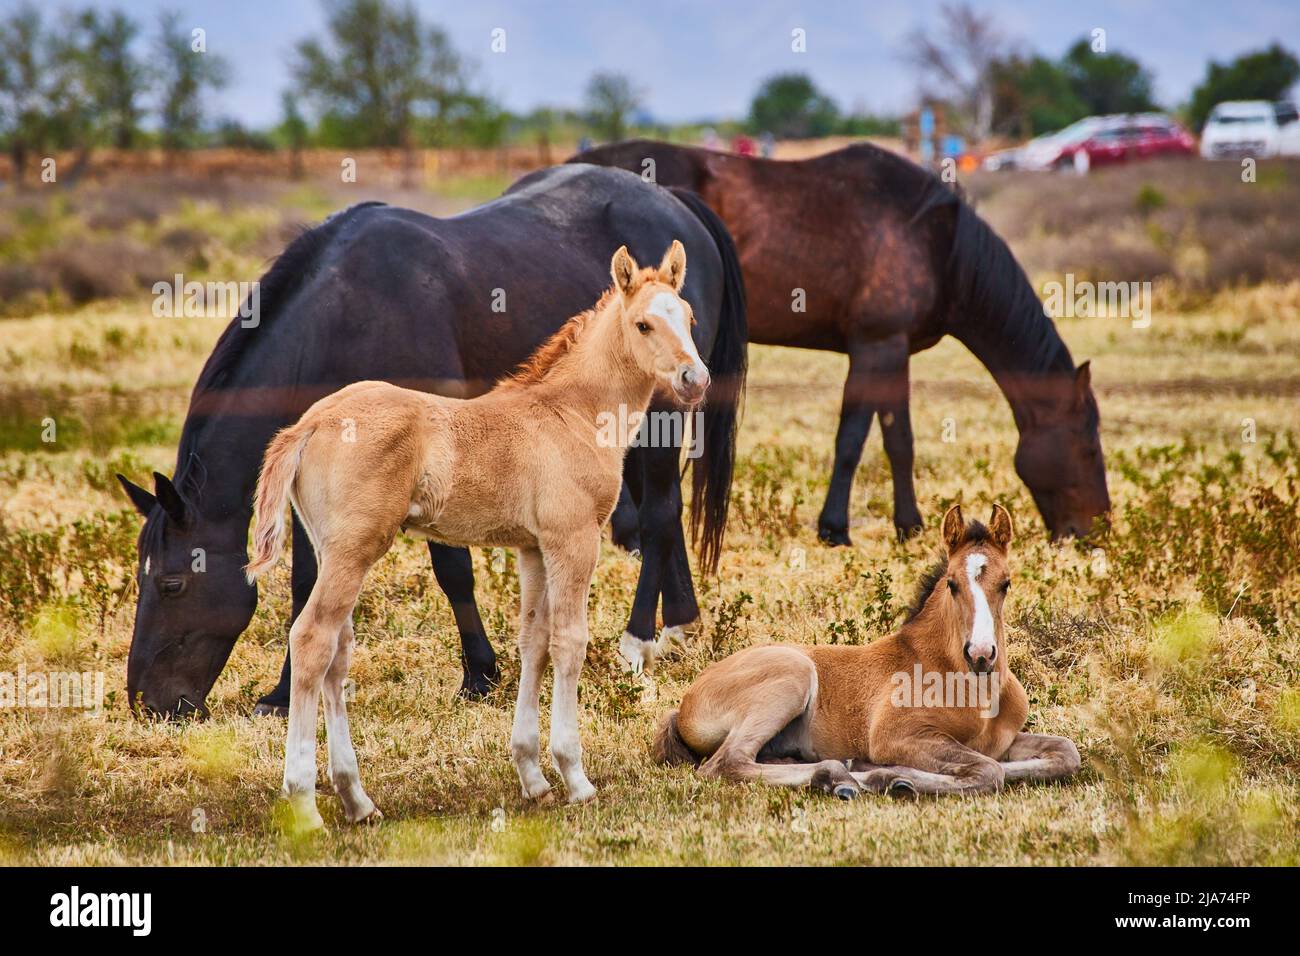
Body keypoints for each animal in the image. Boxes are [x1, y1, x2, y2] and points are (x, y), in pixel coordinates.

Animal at [116, 164, 746, 719]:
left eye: (171, 583)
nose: (147, 703)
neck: (348, 309)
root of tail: (675, 202)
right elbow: (306, 582)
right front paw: (281, 693)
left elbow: (453, 569)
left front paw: (480, 674)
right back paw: (680, 626)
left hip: (663, 413)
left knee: (660, 513)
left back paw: (640, 641)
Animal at [246, 242, 705, 825]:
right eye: (644, 324)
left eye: (688, 318)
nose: (695, 379)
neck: (572, 414)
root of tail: (309, 423)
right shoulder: (574, 539)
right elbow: (570, 642)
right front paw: (575, 777)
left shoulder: (533, 548)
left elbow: (534, 642)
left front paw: (533, 776)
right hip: (355, 549)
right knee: (311, 640)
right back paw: (305, 803)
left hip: (334, 551)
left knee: (337, 654)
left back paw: (357, 799)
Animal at [574, 140, 1110, 545]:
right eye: (1088, 447)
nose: (1095, 530)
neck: (936, 243)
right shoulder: (874, 347)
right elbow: (852, 438)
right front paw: (834, 527)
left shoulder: (894, 351)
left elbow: (899, 439)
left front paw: (909, 525)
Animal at [653, 503, 1081, 799]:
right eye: (952, 583)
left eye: (1006, 583)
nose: (981, 654)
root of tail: (685, 701)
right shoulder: (895, 736)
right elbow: (989, 770)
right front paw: (888, 777)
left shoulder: (1003, 741)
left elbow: (1063, 753)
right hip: (792, 674)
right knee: (727, 763)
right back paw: (836, 776)